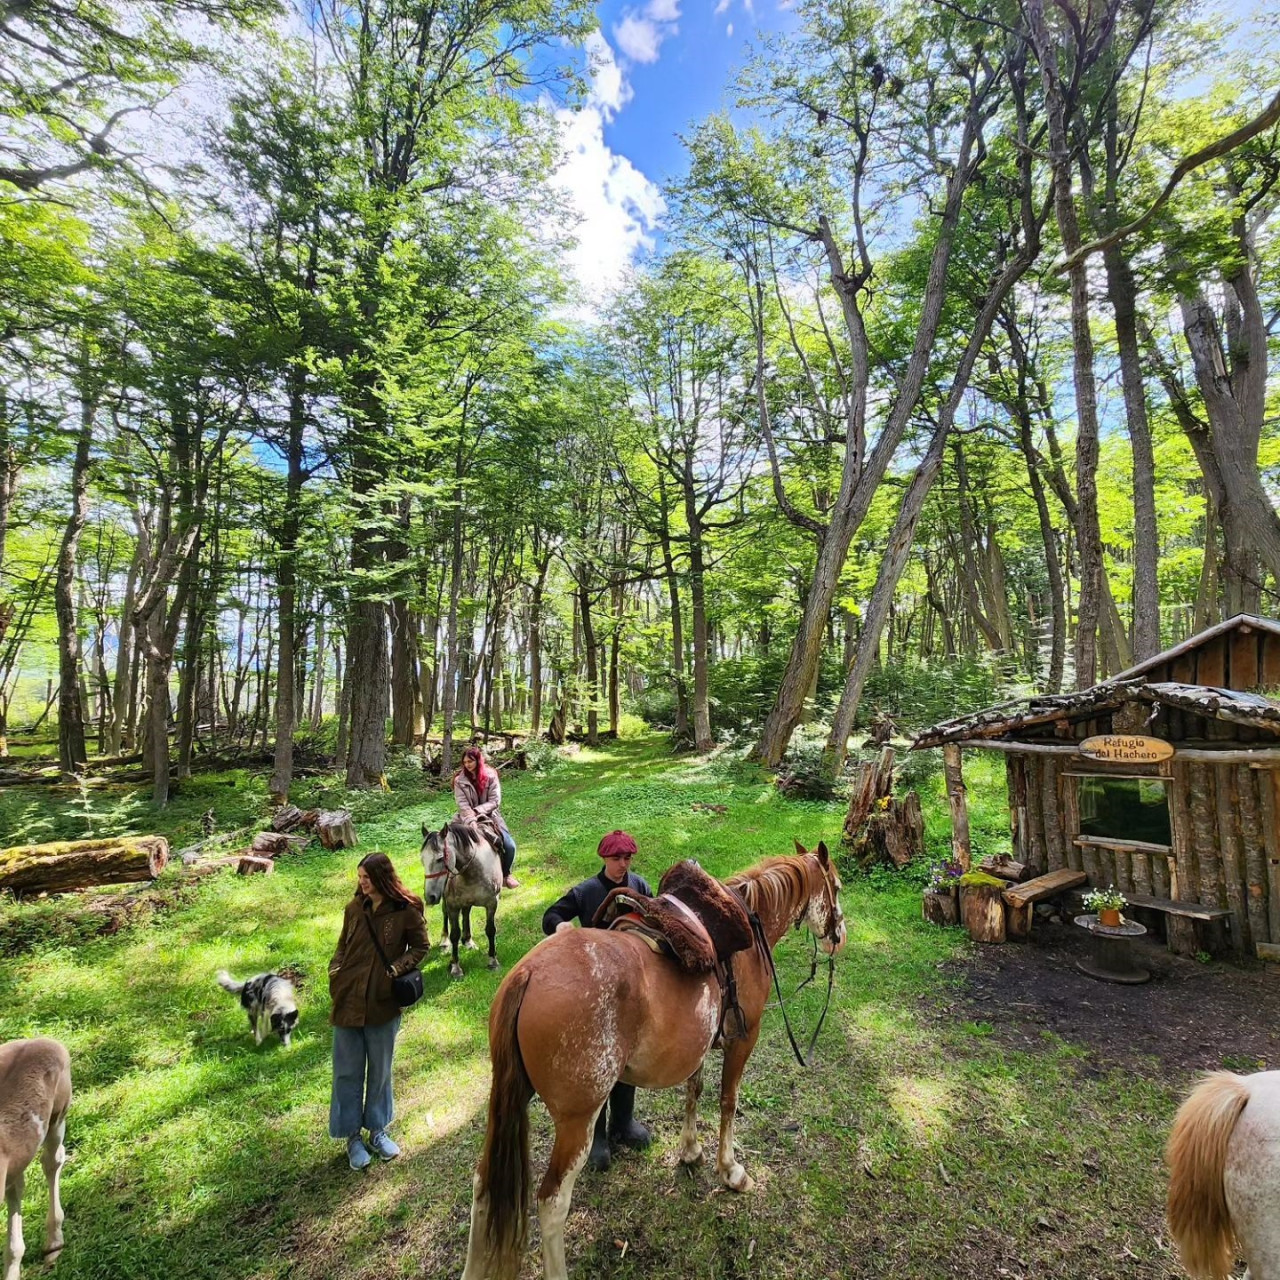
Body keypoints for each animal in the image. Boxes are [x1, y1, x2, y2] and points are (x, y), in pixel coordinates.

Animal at [419, 819, 499, 977]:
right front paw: (455, 967)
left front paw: (493, 960)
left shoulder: (492, 903)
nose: (430, 897)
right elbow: (454, 934)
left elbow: (490, 930)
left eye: (440, 859)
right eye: (422, 860)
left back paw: (468, 940)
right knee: (445, 915)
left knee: (466, 912)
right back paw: (445, 942)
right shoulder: (453, 906)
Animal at [463, 839, 849, 1280]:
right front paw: (730, 1170)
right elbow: (728, 1101)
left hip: (508, 1096)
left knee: (483, 1187)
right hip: (577, 1120)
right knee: (550, 1201)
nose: (840, 936)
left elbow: (694, 1090)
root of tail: (527, 974)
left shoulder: (702, 1040)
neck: (752, 930)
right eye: (837, 887)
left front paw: (690, 1151)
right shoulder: (743, 1039)